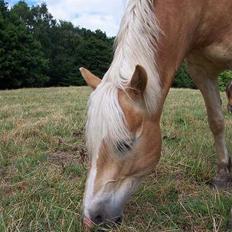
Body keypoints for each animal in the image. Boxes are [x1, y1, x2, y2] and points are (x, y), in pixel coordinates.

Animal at [79, 0, 231, 228]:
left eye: (124, 144)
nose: (90, 219)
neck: (205, 9)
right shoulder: (200, 69)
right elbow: (216, 121)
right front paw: (223, 173)